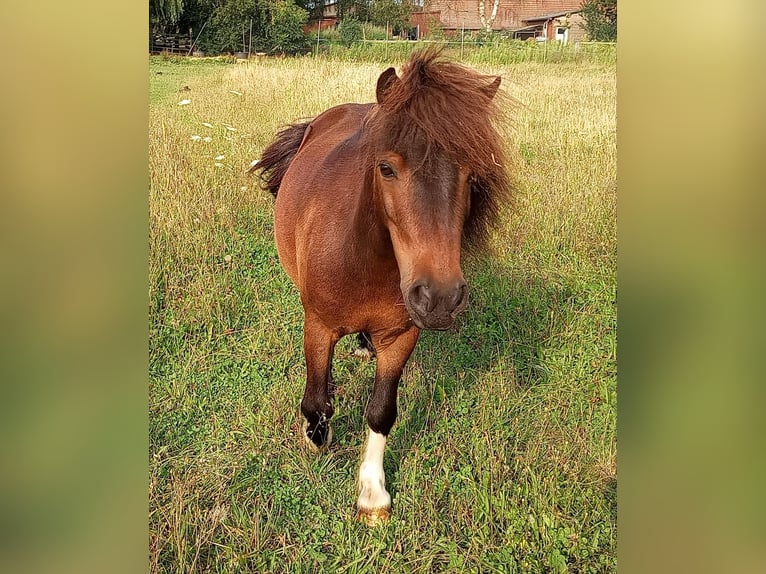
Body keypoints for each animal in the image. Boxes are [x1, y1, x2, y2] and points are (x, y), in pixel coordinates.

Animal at [255, 49, 512, 528]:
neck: (363, 260)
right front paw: (316, 436)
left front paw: (372, 493)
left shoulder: (401, 336)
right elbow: (316, 402)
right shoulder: (318, 326)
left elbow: (381, 412)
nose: (439, 298)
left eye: (472, 176)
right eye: (387, 168)